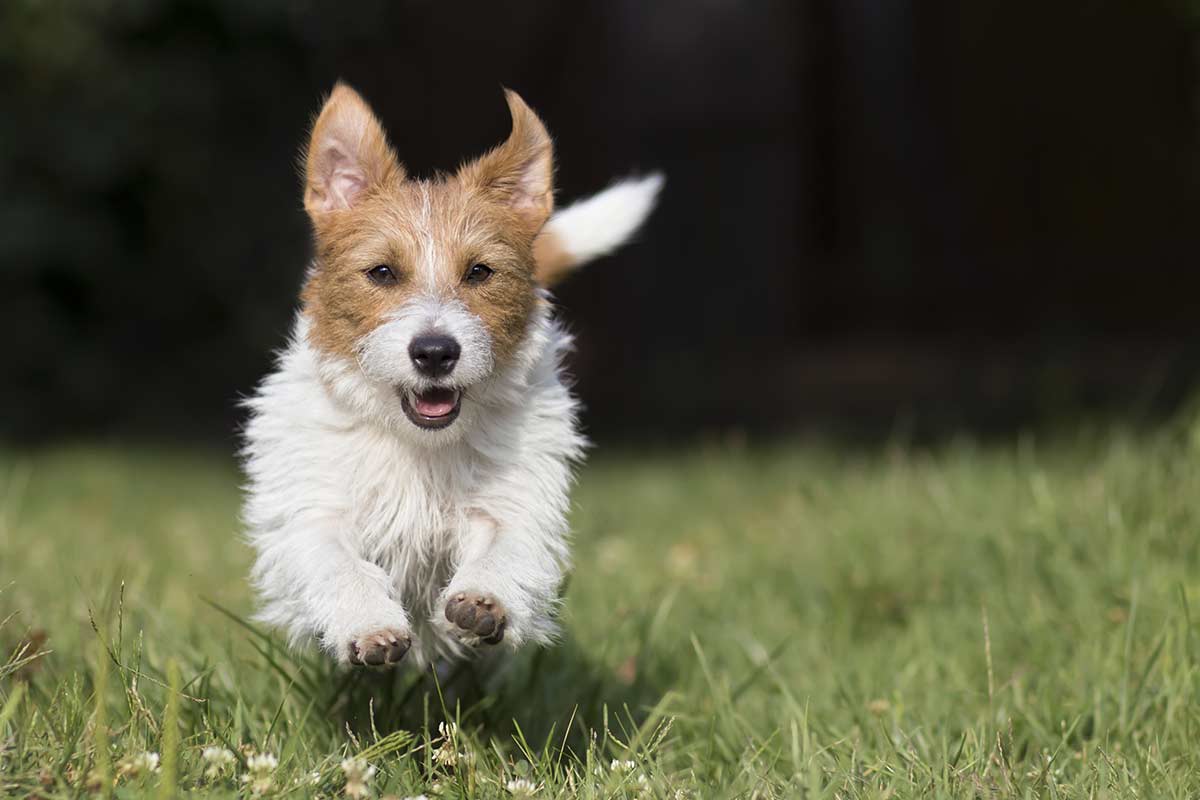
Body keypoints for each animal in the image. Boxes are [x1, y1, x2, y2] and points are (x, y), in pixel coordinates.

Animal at [238, 82, 662, 671]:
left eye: (479, 272)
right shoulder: (313, 509)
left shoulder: (515, 501)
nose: (435, 352)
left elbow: (506, 545)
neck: (419, 444)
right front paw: (368, 622)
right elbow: (336, 562)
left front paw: (484, 600)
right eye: (382, 272)